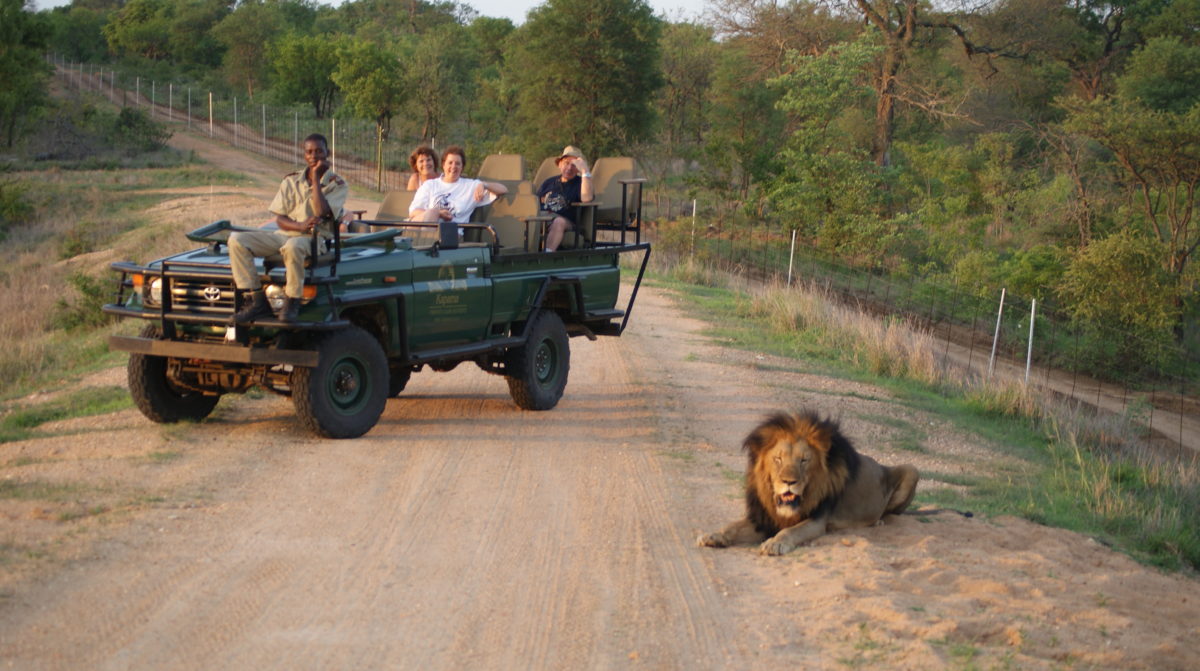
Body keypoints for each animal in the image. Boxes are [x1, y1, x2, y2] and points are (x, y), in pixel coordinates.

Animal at [696, 410, 916, 556]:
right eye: (778, 459)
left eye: (804, 460)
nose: (789, 481)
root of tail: (881, 465)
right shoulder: (763, 518)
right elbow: (733, 526)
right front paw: (714, 536)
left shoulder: (817, 520)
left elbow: (790, 530)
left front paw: (775, 543)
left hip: (913, 470)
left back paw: (878, 521)